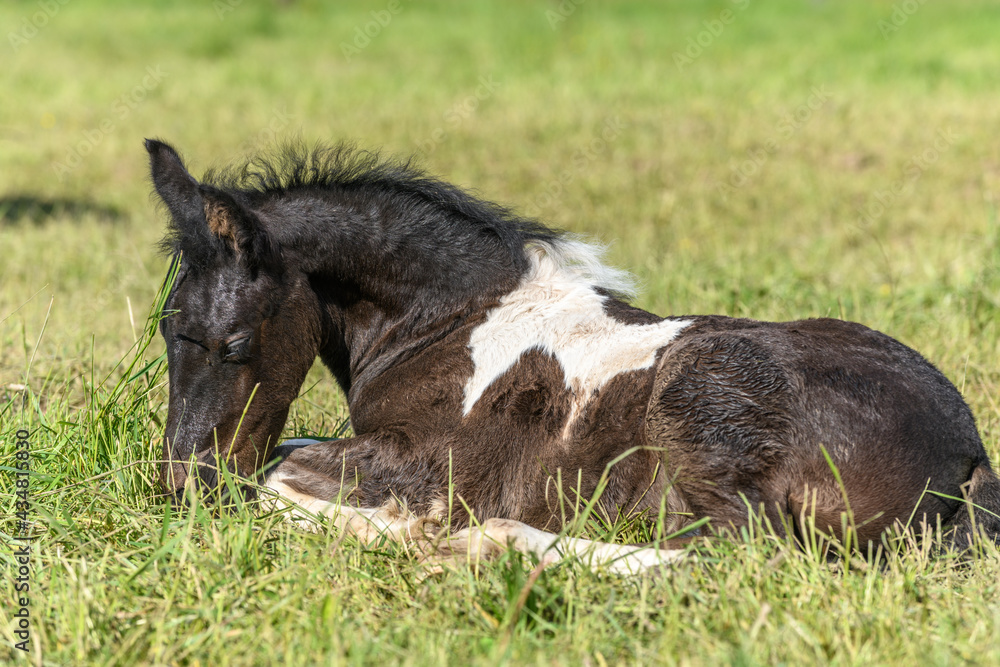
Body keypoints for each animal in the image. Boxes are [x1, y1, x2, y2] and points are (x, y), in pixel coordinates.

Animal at [146, 138, 1000, 573]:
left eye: (233, 342)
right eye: (166, 330)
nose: (183, 489)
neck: (449, 319)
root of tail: (967, 456)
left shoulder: (429, 462)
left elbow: (277, 474)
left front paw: (402, 527)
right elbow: (286, 450)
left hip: (700, 385)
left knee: (744, 557)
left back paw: (485, 542)